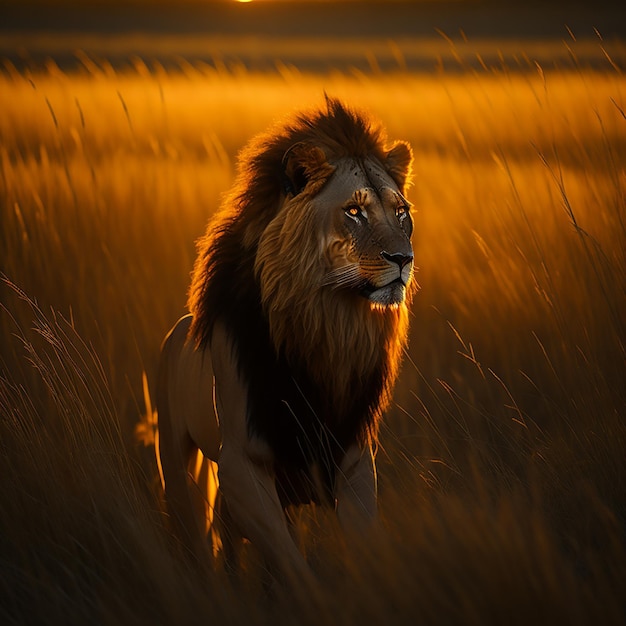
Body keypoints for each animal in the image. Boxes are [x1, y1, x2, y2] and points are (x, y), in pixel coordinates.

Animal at [156, 97, 416, 584]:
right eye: (354, 211)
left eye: (401, 211)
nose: (403, 258)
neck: (327, 330)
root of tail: (176, 329)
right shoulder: (241, 465)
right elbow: (292, 565)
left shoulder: (353, 459)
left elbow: (362, 550)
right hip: (176, 457)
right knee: (191, 527)